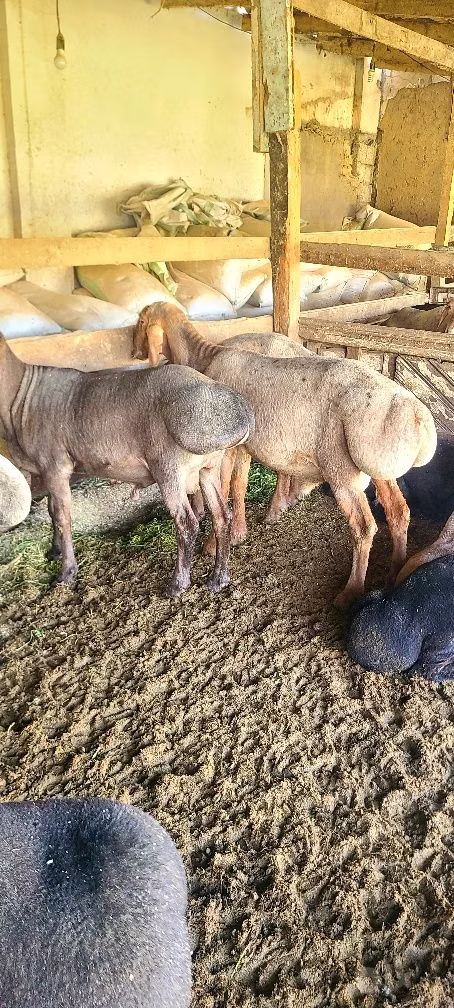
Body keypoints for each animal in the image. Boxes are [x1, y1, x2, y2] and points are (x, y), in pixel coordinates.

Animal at [0, 332, 254, 596]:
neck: (20, 396)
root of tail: (237, 416)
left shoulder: (55, 465)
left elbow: (62, 517)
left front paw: (66, 573)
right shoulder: (46, 471)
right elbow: (51, 511)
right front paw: (54, 551)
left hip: (169, 467)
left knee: (187, 523)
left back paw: (177, 584)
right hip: (208, 468)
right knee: (221, 516)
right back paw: (219, 579)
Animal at [133, 303, 436, 609]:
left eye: (141, 321)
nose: (135, 353)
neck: (206, 357)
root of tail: (417, 417)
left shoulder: (226, 449)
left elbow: (223, 489)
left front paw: (213, 545)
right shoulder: (244, 446)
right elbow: (239, 486)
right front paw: (239, 533)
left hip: (340, 466)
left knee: (363, 527)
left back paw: (350, 592)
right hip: (378, 462)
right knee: (398, 512)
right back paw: (393, 575)